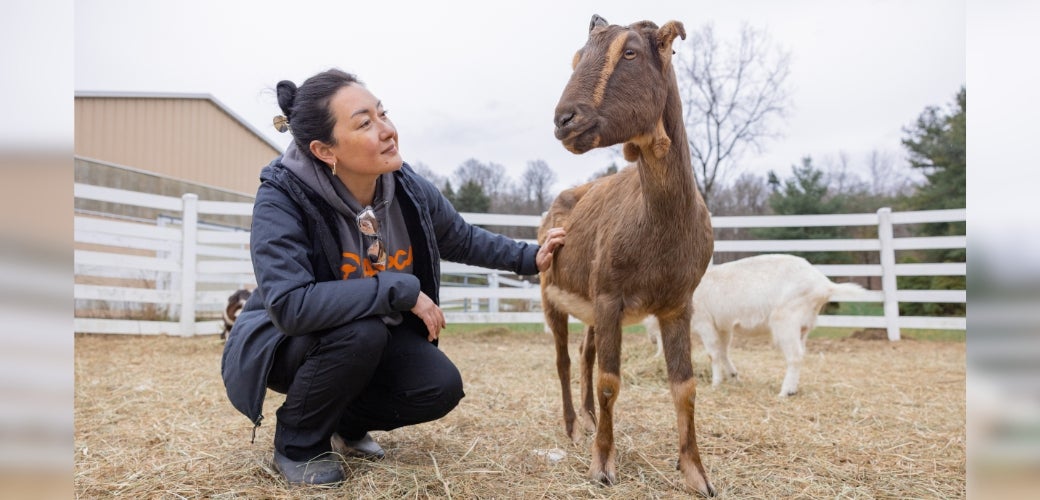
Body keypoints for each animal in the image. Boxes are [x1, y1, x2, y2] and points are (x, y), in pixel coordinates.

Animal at [538, 15, 715, 496]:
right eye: (577, 57)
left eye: (630, 52)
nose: (564, 120)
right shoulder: (610, 296)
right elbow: (610, 381)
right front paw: (602, 464)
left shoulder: (677, 304)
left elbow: (685, 386)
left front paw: (696, 473)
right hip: (551, 295)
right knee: (563, 359)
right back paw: (573, 427)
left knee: (584, 352)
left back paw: (588, 419)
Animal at [644, 254, 867, 396]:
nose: (652, 340)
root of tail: (823, 284)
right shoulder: (723, 325)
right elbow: (723, 351)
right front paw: (732, 376)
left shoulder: (704, 321)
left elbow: (713, 353)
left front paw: (716, 382)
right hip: (804, 326)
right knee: (801, 354)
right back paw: (793, 388)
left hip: (786, 321)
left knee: (795, 356)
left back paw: (785, 391)